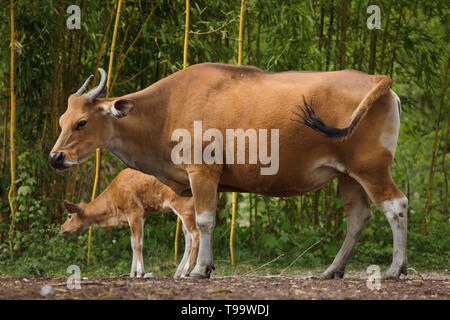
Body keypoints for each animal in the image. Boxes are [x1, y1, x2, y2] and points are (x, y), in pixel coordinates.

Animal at [60, 169, 199, 278]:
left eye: (69, 216)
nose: (62, 228)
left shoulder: (134, 211)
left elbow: (137, 243)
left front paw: (140, 272)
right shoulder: (142, 215)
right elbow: (134, 242)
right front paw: (132, 273)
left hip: (184, 207)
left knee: (195, 235)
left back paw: (186, 272)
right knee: (189, 239)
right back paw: (179, 272)